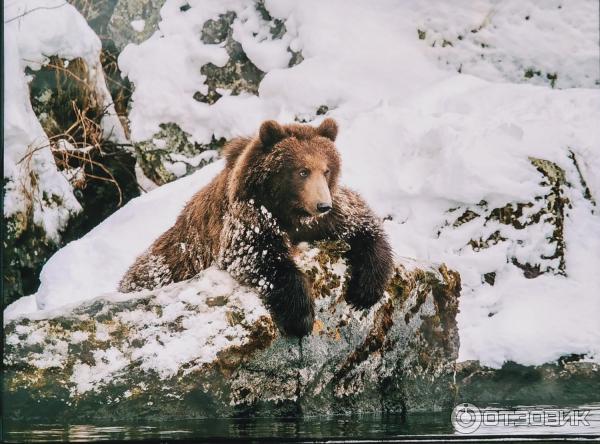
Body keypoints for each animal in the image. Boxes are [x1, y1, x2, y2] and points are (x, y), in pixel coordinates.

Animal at [120, 118, 396, 336]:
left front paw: (366, 290)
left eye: (327, 169)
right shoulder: (249, 216)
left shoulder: (328, 217)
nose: (322, 205)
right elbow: (258, 253)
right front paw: (301, 314)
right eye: (302, 171)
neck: (290, 213)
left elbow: (362, 225)